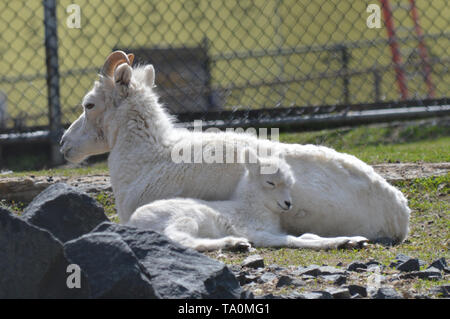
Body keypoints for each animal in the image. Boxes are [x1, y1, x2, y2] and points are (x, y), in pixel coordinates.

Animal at [128, 150, 368, 252]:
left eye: (290, 183)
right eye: (270, 183)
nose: (288, 204)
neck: (253, 208)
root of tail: (134, 222)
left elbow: (307, 235)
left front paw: (355, 240)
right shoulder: (258, 233)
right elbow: (294, 240)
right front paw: (341, 242)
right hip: (185, 218)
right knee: (180, 239)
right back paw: (234, 243)